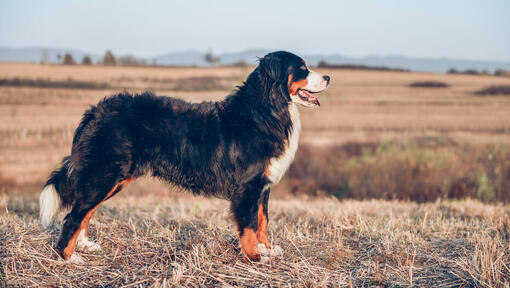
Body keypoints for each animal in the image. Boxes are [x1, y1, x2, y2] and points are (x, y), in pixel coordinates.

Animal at [41, 50, 332, 262]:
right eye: (302, 68)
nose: (329, 76)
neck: (264, 110)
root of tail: (96, 111)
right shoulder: (248, 186)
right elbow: (249, 225)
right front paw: (255, 257)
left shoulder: (262, 186)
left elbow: (263, 220)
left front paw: (267, 249)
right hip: (104, 174)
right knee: (74, 216)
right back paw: (68, 258)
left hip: (114, 178)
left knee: (85, 212)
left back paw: (85, 246)